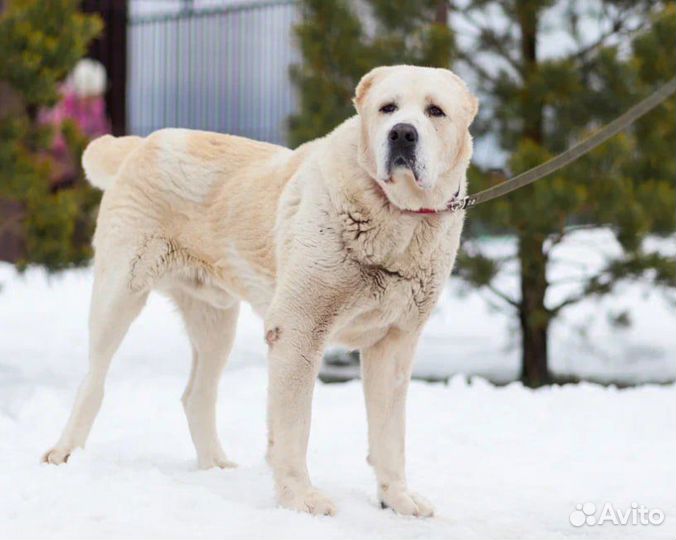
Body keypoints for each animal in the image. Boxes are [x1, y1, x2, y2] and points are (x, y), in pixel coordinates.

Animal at [43, 65, 476, 516]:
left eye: (435, 111)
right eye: (387, 108)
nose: (402, 134)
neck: (396, 216)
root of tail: (141, 144)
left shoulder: (394, 344)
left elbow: (390, 435)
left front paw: (398, 499)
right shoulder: (298, 331)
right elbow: (294, 427)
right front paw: (300, 498)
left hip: (215, 321)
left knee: (196, 396)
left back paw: (215, 467)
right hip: (119, 294)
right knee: (93, 380)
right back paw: (66, 452)